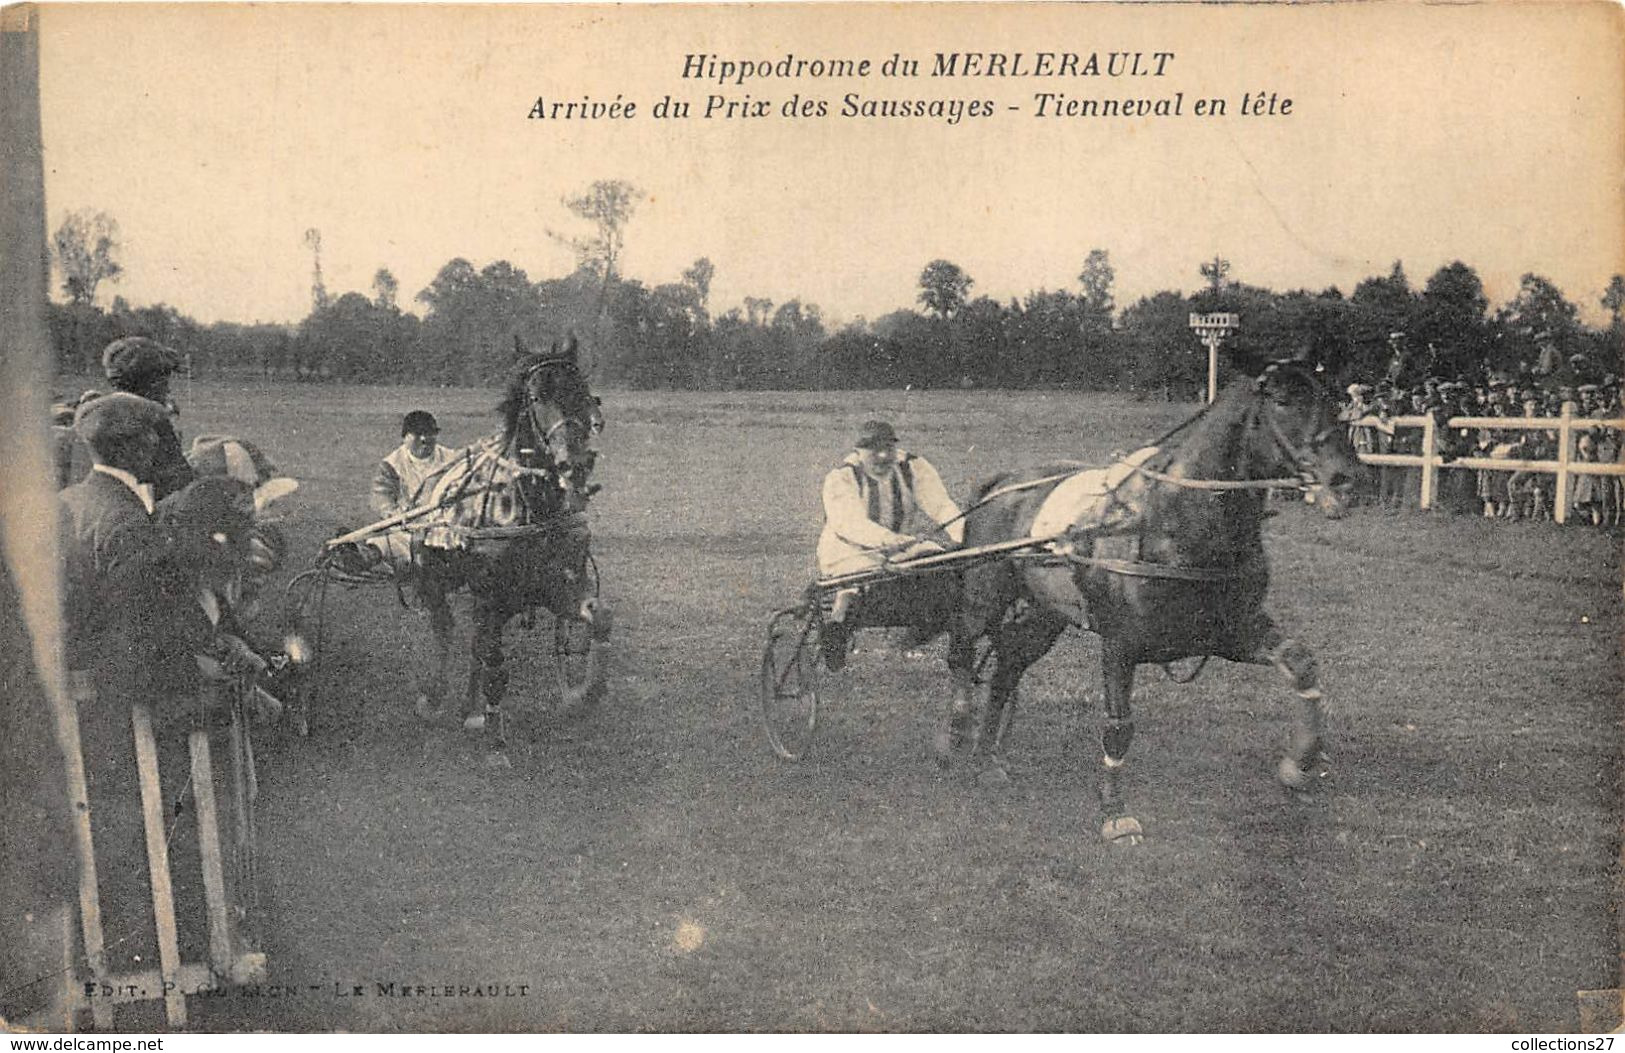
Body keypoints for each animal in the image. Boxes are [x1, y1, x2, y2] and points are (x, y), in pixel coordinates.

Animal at [412, 341, 611, 737]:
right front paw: (492, 732)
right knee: (446, 631)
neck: (533, 507)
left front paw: (582, 693)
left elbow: (599, 617)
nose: (575, 464)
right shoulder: (492, 594)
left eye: (582, 393)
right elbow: (493, 661)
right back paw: (435, 700)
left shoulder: (559, 585)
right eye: (535, 398)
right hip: (435, 580)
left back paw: (469, 707)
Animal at [942, 365, 1371, 845]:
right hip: (984, 597)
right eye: (1283, 402)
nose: (1347, 479)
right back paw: (958, 730)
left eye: (1334, 399)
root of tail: (1001, 483)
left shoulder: (1232, 632)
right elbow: (1118, 726)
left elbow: (1301, 664)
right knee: (961, 653)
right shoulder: (1119, 644)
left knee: (1005, 671)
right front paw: (1114, 812)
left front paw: (1299, 764)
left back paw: (985, 759)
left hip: (1042, 615)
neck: (1173, 520)